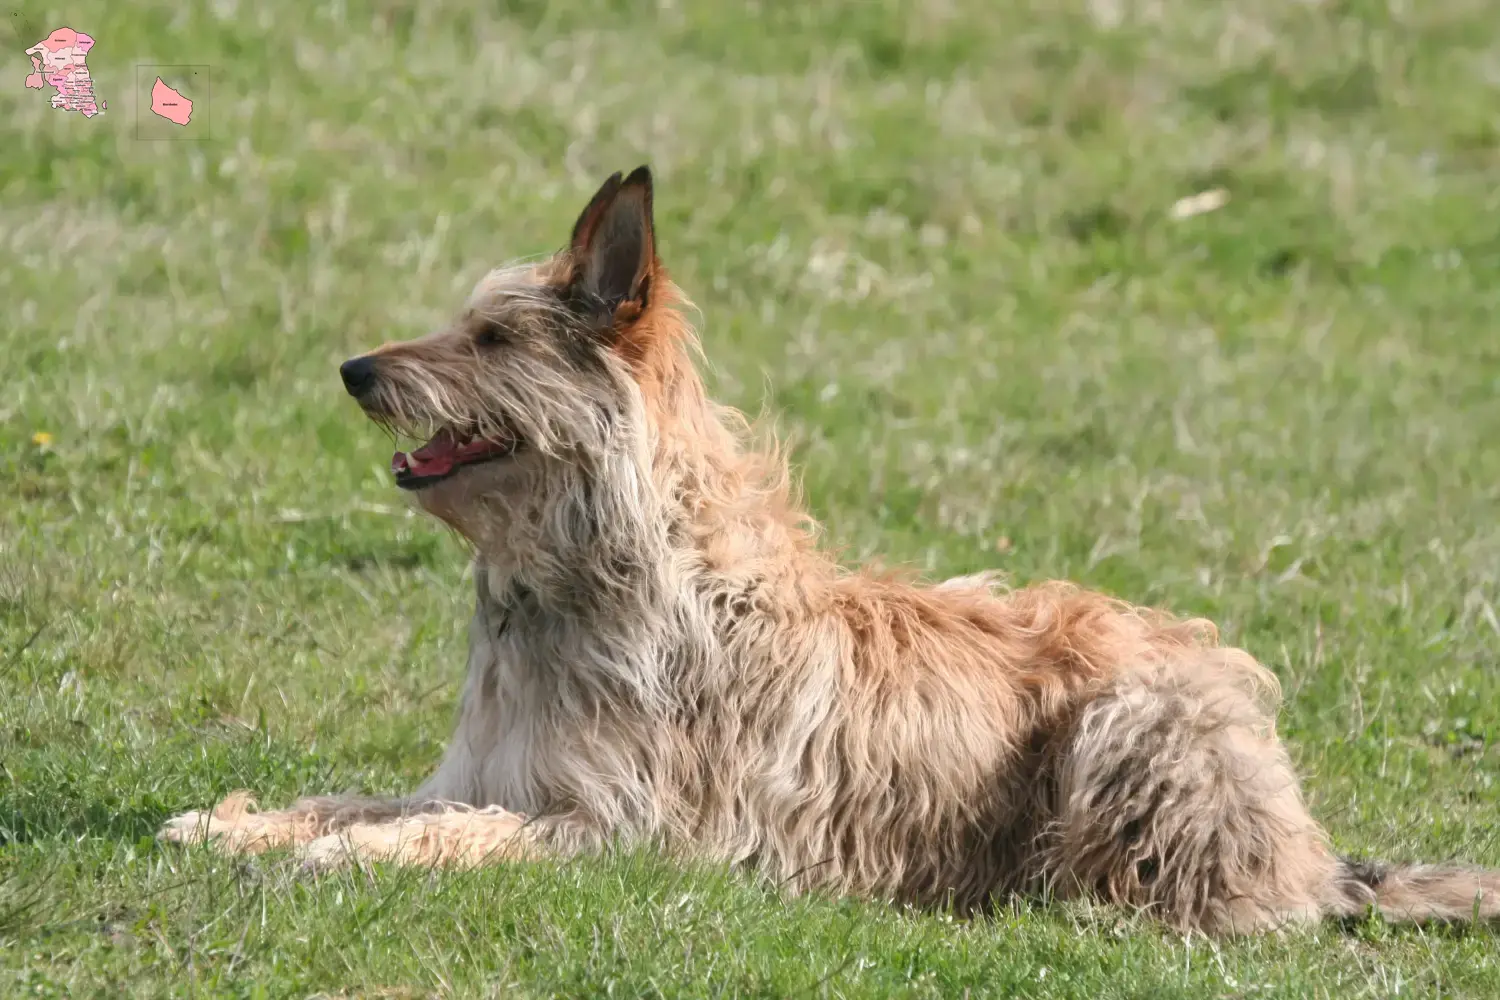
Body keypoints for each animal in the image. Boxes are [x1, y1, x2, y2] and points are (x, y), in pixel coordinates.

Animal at [158, 164, 1494, 941]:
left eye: (488, 338)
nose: (354, 369)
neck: (586, 573)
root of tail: (1315, 851)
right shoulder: (488, 773)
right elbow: (359, 796)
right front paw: (242, 823)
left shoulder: (612, 827)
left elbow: (438, 836)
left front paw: (332, 855)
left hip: (1136, 724)